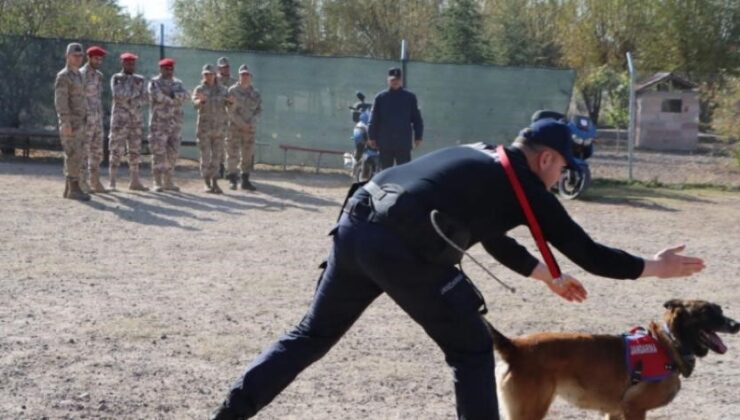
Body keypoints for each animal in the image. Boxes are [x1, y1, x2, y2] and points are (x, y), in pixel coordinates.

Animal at [492, 300, 740, 418]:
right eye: (706, 311)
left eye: (720, 309)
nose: (736, 324)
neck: (668, 342)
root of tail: (515, 347)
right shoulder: (635, 409)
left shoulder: (615, 412)